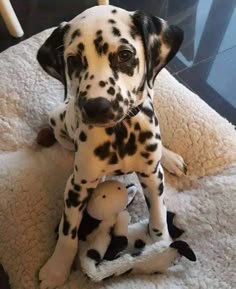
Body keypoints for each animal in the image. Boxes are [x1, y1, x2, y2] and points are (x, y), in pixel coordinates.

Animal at [37, 2, 185, 288]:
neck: (120, 133)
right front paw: (57, 267)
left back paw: (171, 157)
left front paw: (160, 247)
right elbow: (68, 231)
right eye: (73, 61)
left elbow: (158, 216)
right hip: (58, 121)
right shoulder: (77, 186)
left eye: (125, 55)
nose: (96, 107)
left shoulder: (152, 176)